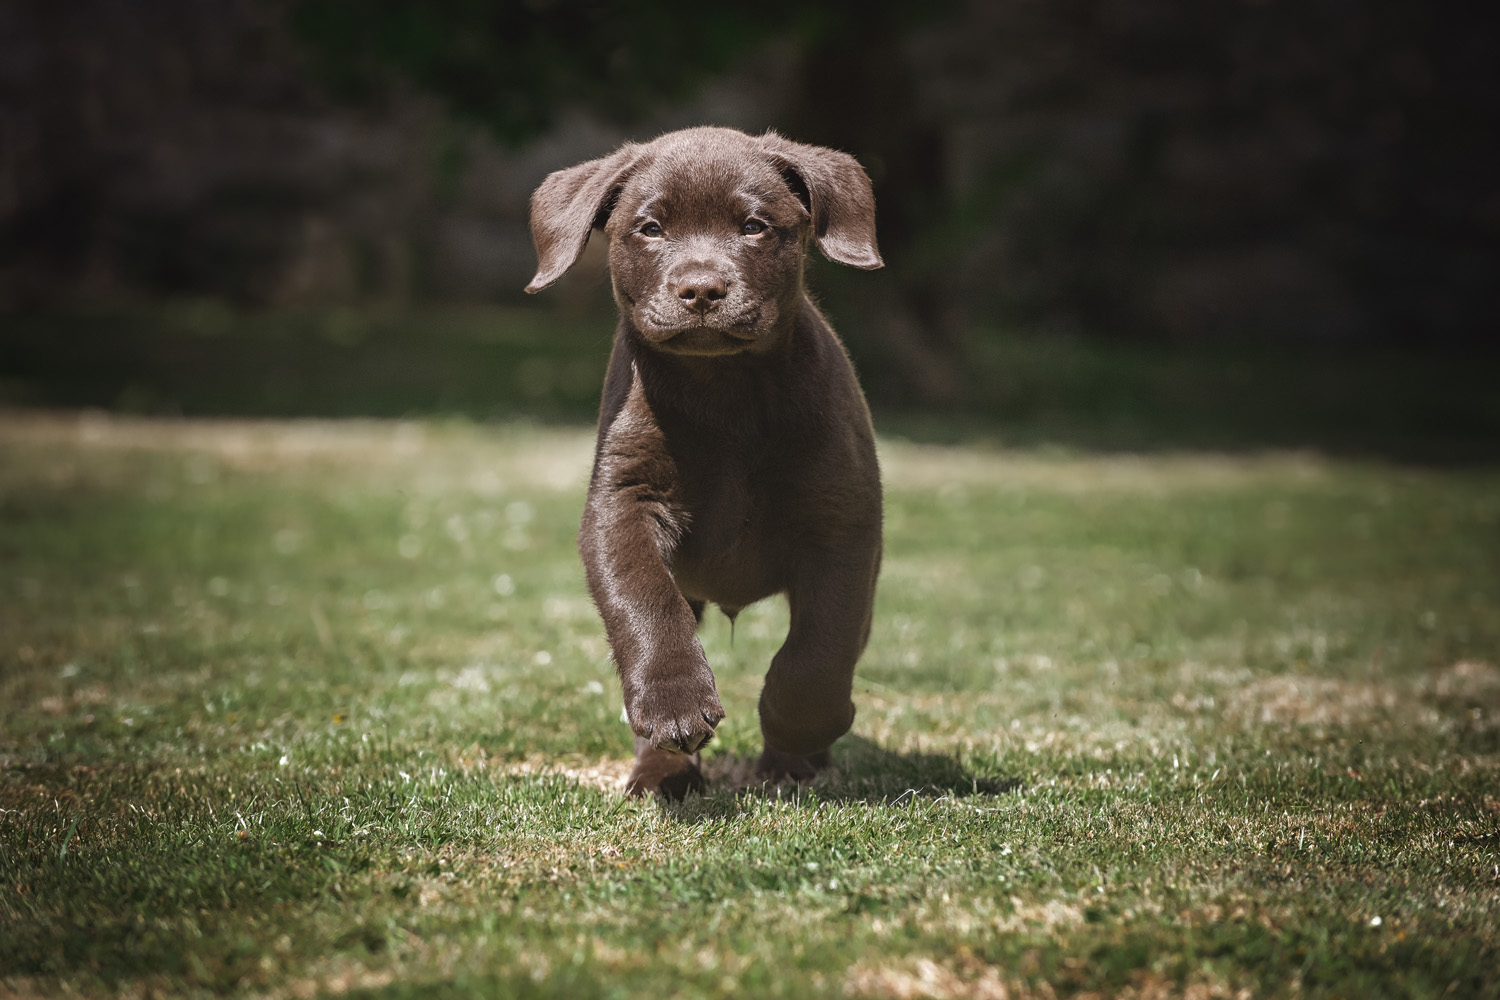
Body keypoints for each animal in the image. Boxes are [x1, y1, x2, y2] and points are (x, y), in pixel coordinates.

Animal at [525, 127, 882, 797]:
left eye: (754, 226)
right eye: (650, 228)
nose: (701, 290)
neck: (726, 392)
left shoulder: (844, 522)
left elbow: (822, 647)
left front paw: (797, 728)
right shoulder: (623, 501)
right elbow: (642, 602)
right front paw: (676, 708)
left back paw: (795, 763)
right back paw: (662, 770)